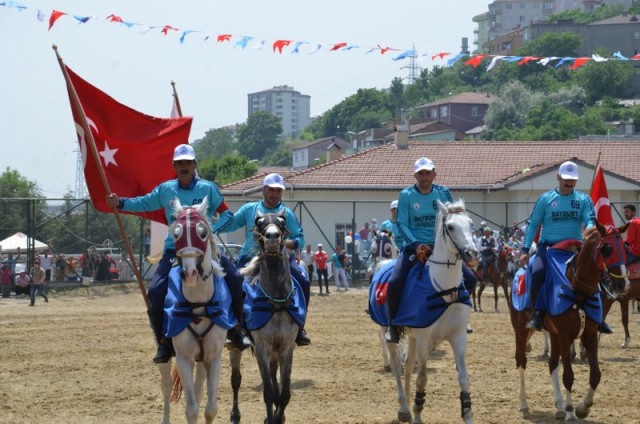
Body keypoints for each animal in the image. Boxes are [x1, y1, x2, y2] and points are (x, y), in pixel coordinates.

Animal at [159, 198, 229, 424]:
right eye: (176, 234)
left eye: (203, 232)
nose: (189, 273)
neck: (198, 305)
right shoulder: (183, 357)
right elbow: (191, 409)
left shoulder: (213, 357)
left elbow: (210, 408)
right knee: (166, 387)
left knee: (198, 392)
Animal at [382, 200, 478, 424]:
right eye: (450, 226)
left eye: (471, 224)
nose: (471, 253)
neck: (444, 289)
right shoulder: (424, 341)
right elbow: (422, 379)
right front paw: (417, 414)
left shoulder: (458, 337)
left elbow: (464, 378)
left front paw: (468, 414)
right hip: (388, 331)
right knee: (396, 365)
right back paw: (404, 408)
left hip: (412, 337)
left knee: (408, 365)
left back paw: (408, 404)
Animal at [510, 222, 632, 420]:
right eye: (607, 249)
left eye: (625, 248)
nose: (624, 285)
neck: (578, 289)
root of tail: (518, 271)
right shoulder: (566, 336)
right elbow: (568, 375)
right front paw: (570, 411)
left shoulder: (589, 335)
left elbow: (595, 375)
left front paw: (583, 407)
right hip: (521, 330)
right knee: (521, 361)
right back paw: (524, 405)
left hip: (553, 334)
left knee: (552, 364)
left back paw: (558, 406)